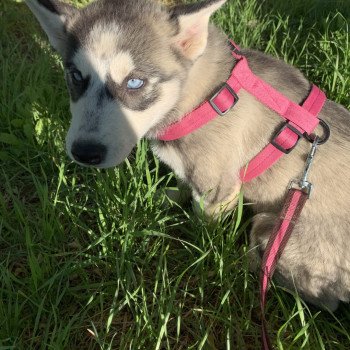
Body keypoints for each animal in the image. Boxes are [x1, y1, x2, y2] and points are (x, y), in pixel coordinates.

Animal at [26, 0, 350, 312]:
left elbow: (203, 224)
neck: (204, 98)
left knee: (324, 299)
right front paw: (166, 196)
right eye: (75, 76)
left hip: (272, 230)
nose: (84, 152)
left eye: (135, 82)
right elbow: (183, 184)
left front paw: (198, 247)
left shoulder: (219, 190)